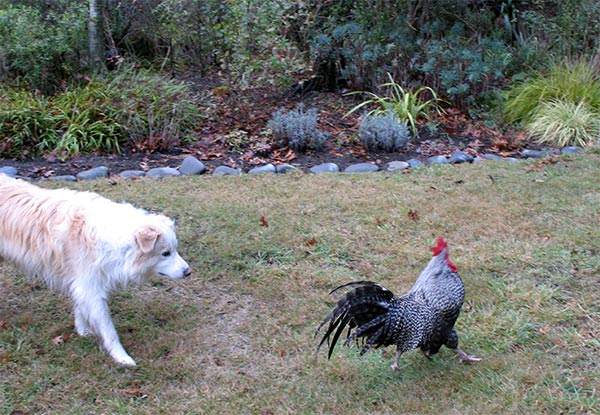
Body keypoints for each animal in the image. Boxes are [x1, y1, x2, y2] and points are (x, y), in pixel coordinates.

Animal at [0, 174, 191, 366]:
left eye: (175, 249)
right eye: (165, 253)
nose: (188, 271)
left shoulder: (82, 283)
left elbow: (80, 308)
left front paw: (82, 331)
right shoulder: (91, 289)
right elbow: (109, 330)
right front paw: (121, 357)